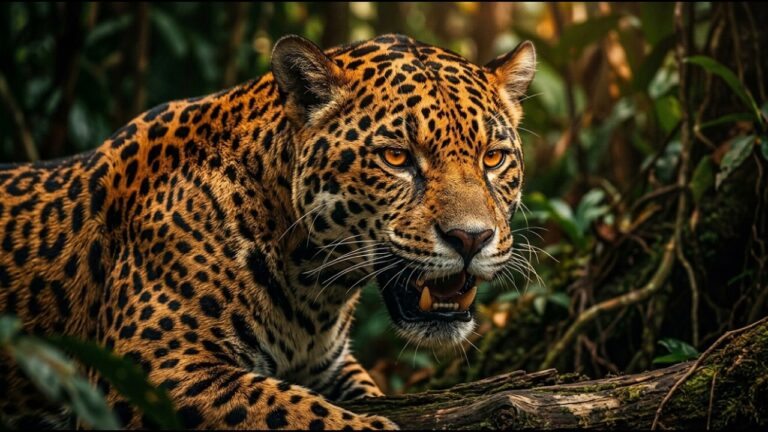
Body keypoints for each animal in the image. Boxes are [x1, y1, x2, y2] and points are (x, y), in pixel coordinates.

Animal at [0, 33, 535, 429]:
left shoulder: (332, 366)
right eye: (396, 157)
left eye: (493, 158)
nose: (471, 238)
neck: (313, 286)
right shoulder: (149, 367)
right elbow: (300, 413)